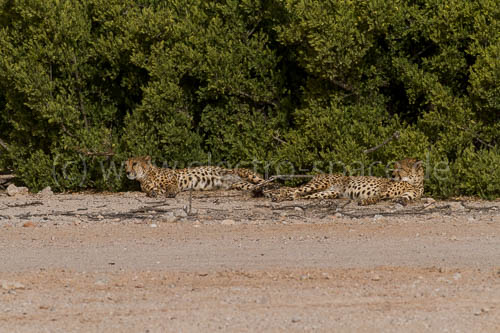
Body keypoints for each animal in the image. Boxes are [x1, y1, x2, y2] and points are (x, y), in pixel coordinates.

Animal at [125, 156, 266, 197]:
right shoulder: (152, 187)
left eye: (135, 163)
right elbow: (153, 190)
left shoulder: (173, 180)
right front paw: (153, 193)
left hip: (246, 173)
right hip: (241, 184)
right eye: (126, 164)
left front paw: (171, 193)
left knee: (264, 181)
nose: (126, 172)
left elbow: (171, 187)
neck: (144, 176)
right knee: (256, 186)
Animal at [268, 158, 424, 205]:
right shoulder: (382, 191)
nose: (392, 174)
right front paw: (365, 201)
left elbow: (405, 198)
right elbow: (376, 197)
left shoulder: (411, 195)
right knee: (291, 190)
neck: (414, 182)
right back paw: (275, 195)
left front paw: (400, 200)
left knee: (298, 195)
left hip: (328, 193)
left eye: (400, 168)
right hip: (320, 184)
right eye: (395, 167)